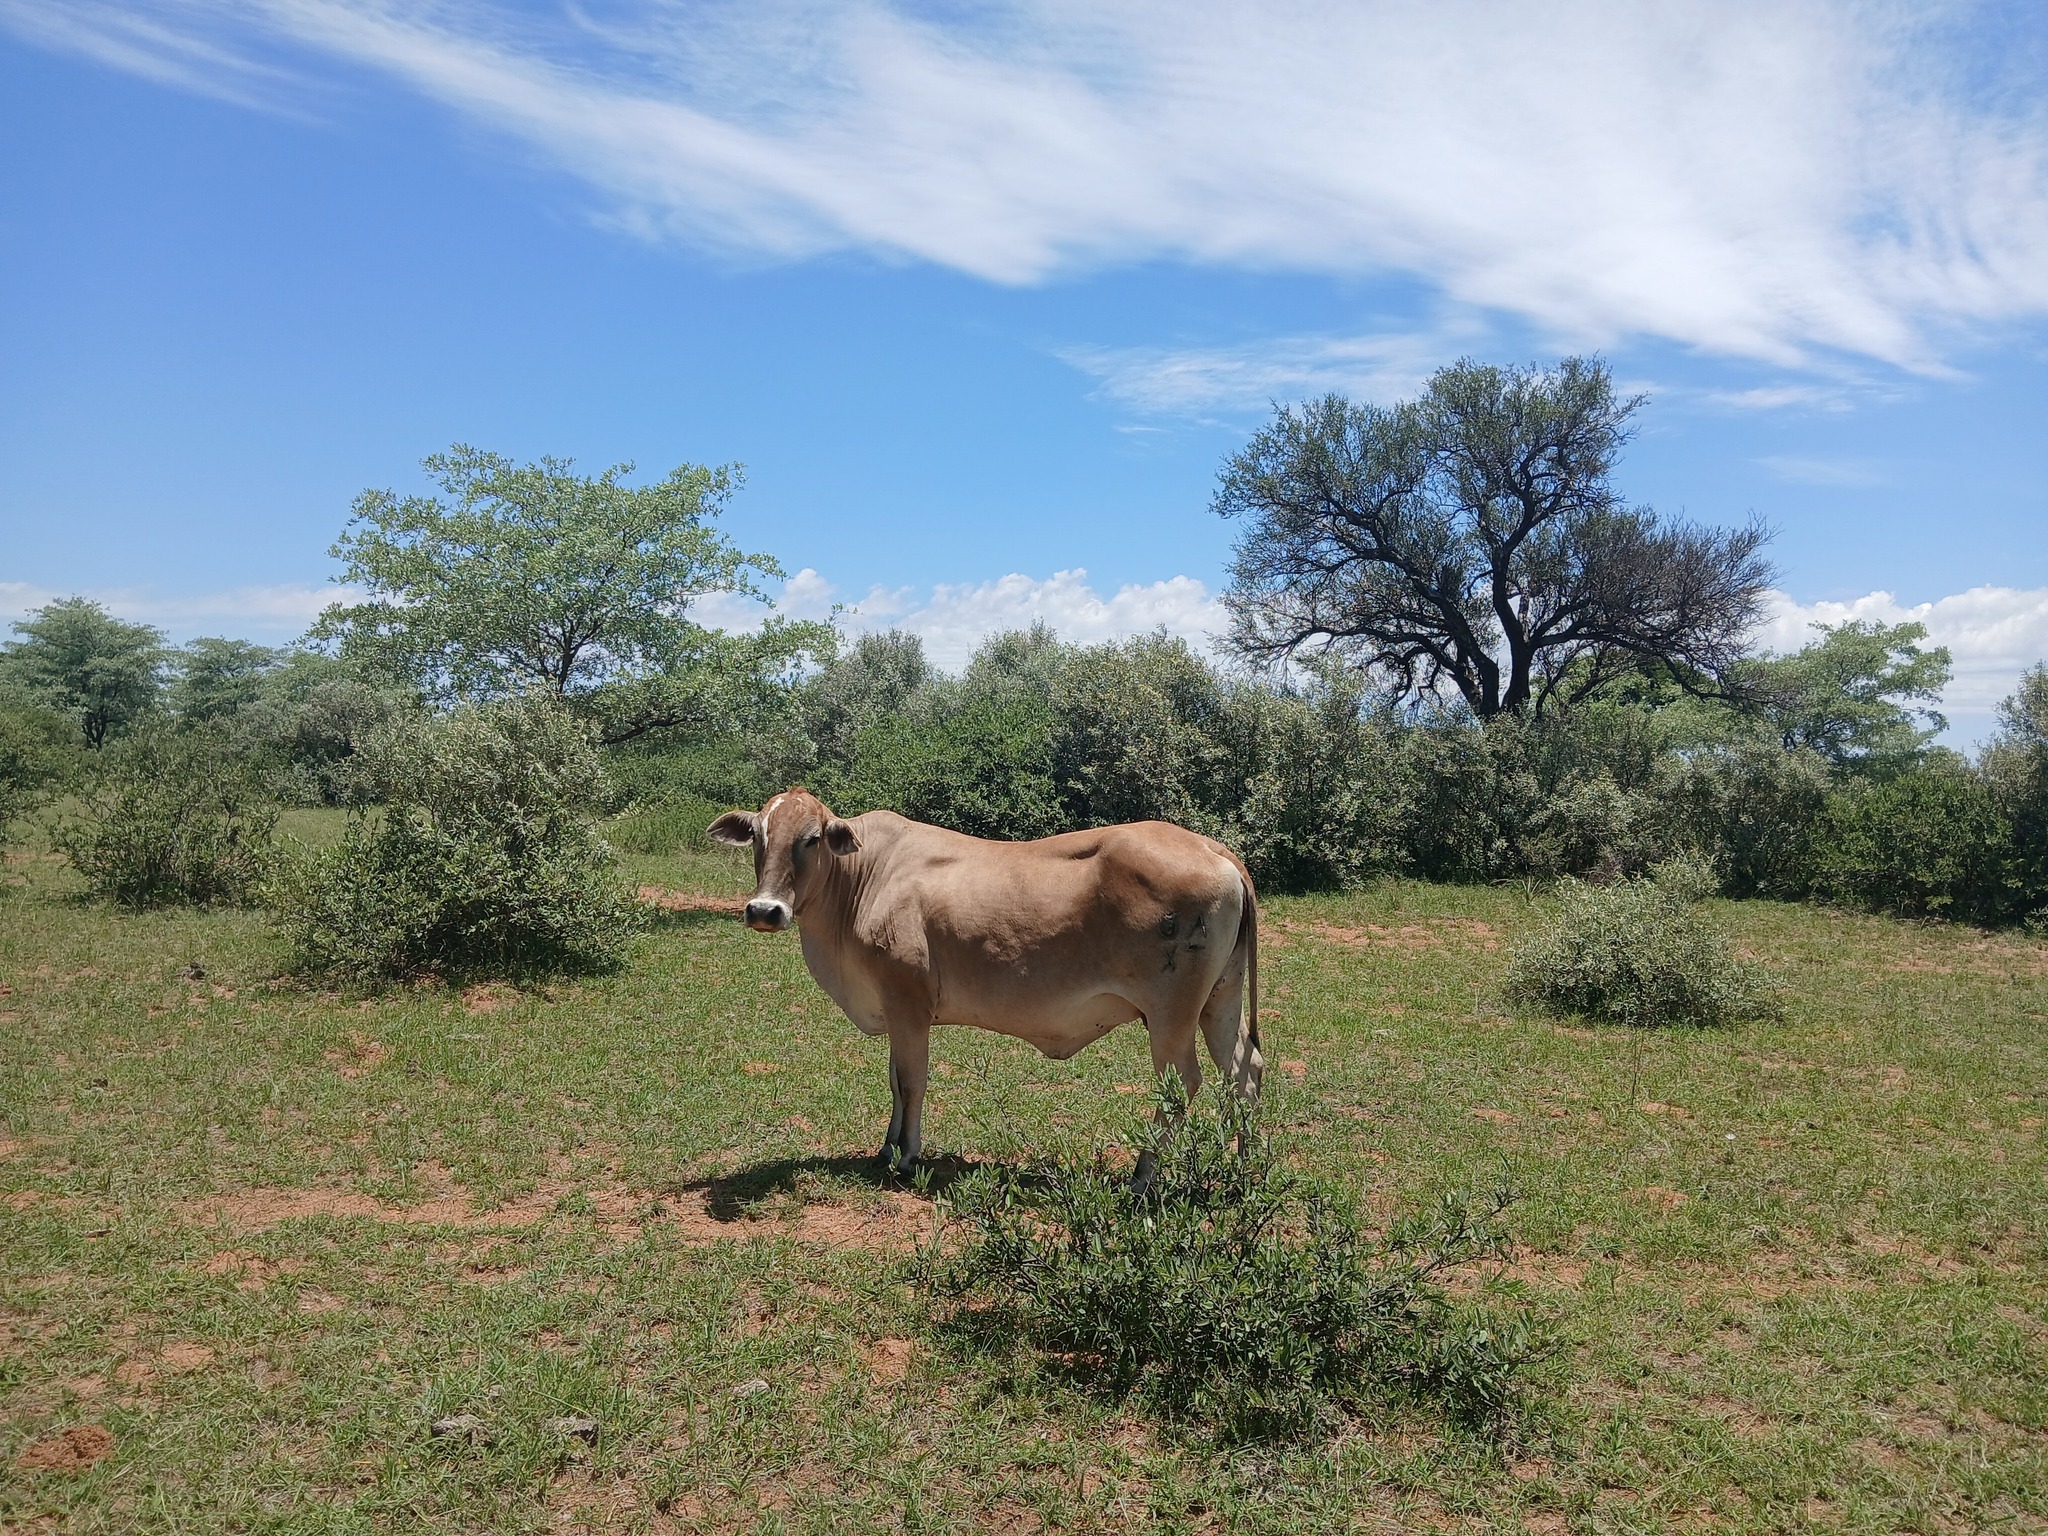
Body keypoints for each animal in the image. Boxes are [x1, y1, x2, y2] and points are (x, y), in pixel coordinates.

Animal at [707, 788, 1262, 1176]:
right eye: (759, 836)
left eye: (812, 839)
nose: (764, 910)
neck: (863, 880)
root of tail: (1212, 847)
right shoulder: (894, 1009)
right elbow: (894, 1081)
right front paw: (885, 1148)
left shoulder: (909, 1004)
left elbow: (912, 1081)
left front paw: (907, 1156)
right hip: (1221, 999)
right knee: (1244, 1068)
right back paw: (1246, 1165)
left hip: (1172, 1013)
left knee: (1182, 1083)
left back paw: (1144, 1174)